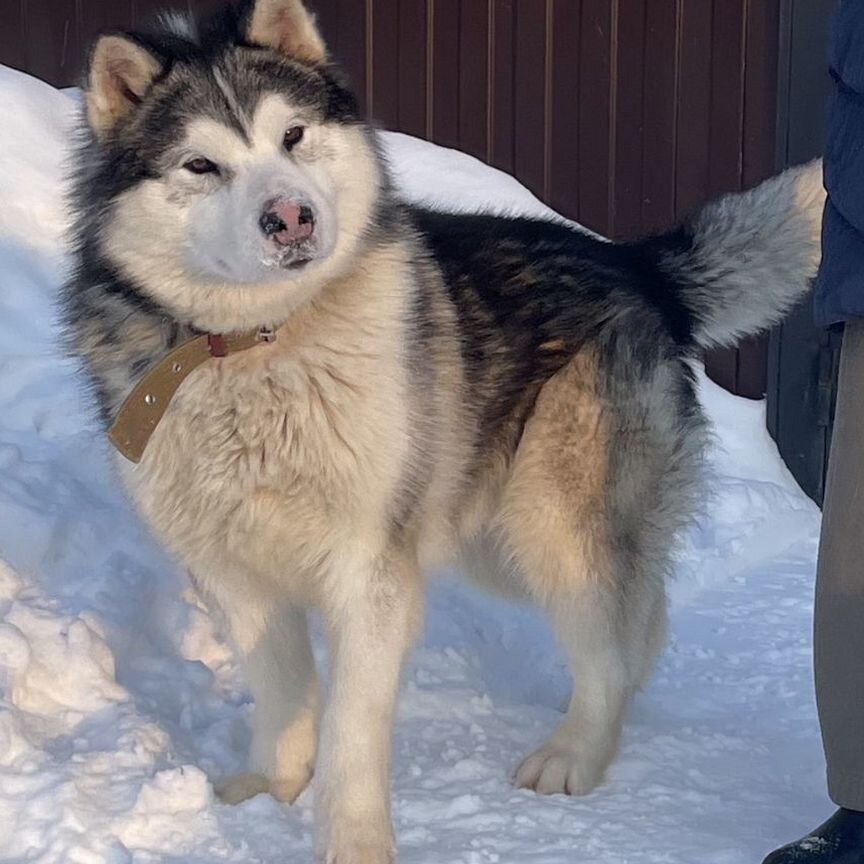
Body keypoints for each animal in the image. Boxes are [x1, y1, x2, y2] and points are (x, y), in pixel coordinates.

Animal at [59, 3, 824, 860]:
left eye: (293, 136)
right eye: (200, 165)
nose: (290, 217)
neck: (261, 345)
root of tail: (632, 264)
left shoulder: (370, 571)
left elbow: (352, 732)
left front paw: (352, 842)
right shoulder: (233, 573)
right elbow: (284, 694)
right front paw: (271, 789)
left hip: (550, 520)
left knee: (608, 636)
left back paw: (574, 753)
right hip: (493, 534)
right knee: (642, 620)